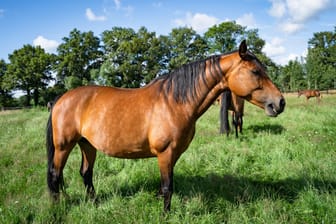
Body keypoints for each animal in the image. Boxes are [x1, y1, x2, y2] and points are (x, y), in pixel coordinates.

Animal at [46, 40, 284, 212]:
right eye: (255, 72)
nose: (280, 102)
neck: (175, 102)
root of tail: (61, 99)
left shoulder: (174, 153)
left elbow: (169, 184)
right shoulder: (165, 153)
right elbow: (168, 186)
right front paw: (166, 214)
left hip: (87, 144)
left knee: (86, 173)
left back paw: (94, 204)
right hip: (63, 146)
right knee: (55, 175)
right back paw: (57, 209)